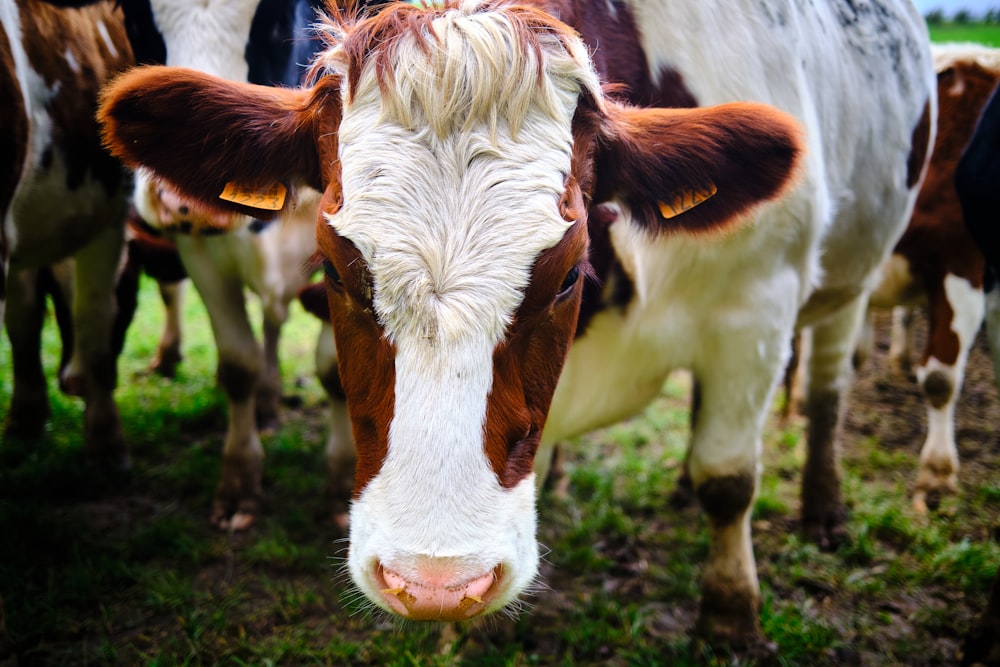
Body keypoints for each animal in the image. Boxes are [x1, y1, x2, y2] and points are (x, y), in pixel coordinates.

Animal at [95, 0, 936, 652]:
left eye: (567, 273)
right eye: (332, 267)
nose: (435, 581)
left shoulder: (756, 306)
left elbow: (729, 480)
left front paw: (730, 614)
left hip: (850, 283)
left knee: (825, 387)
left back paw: (823, 504)